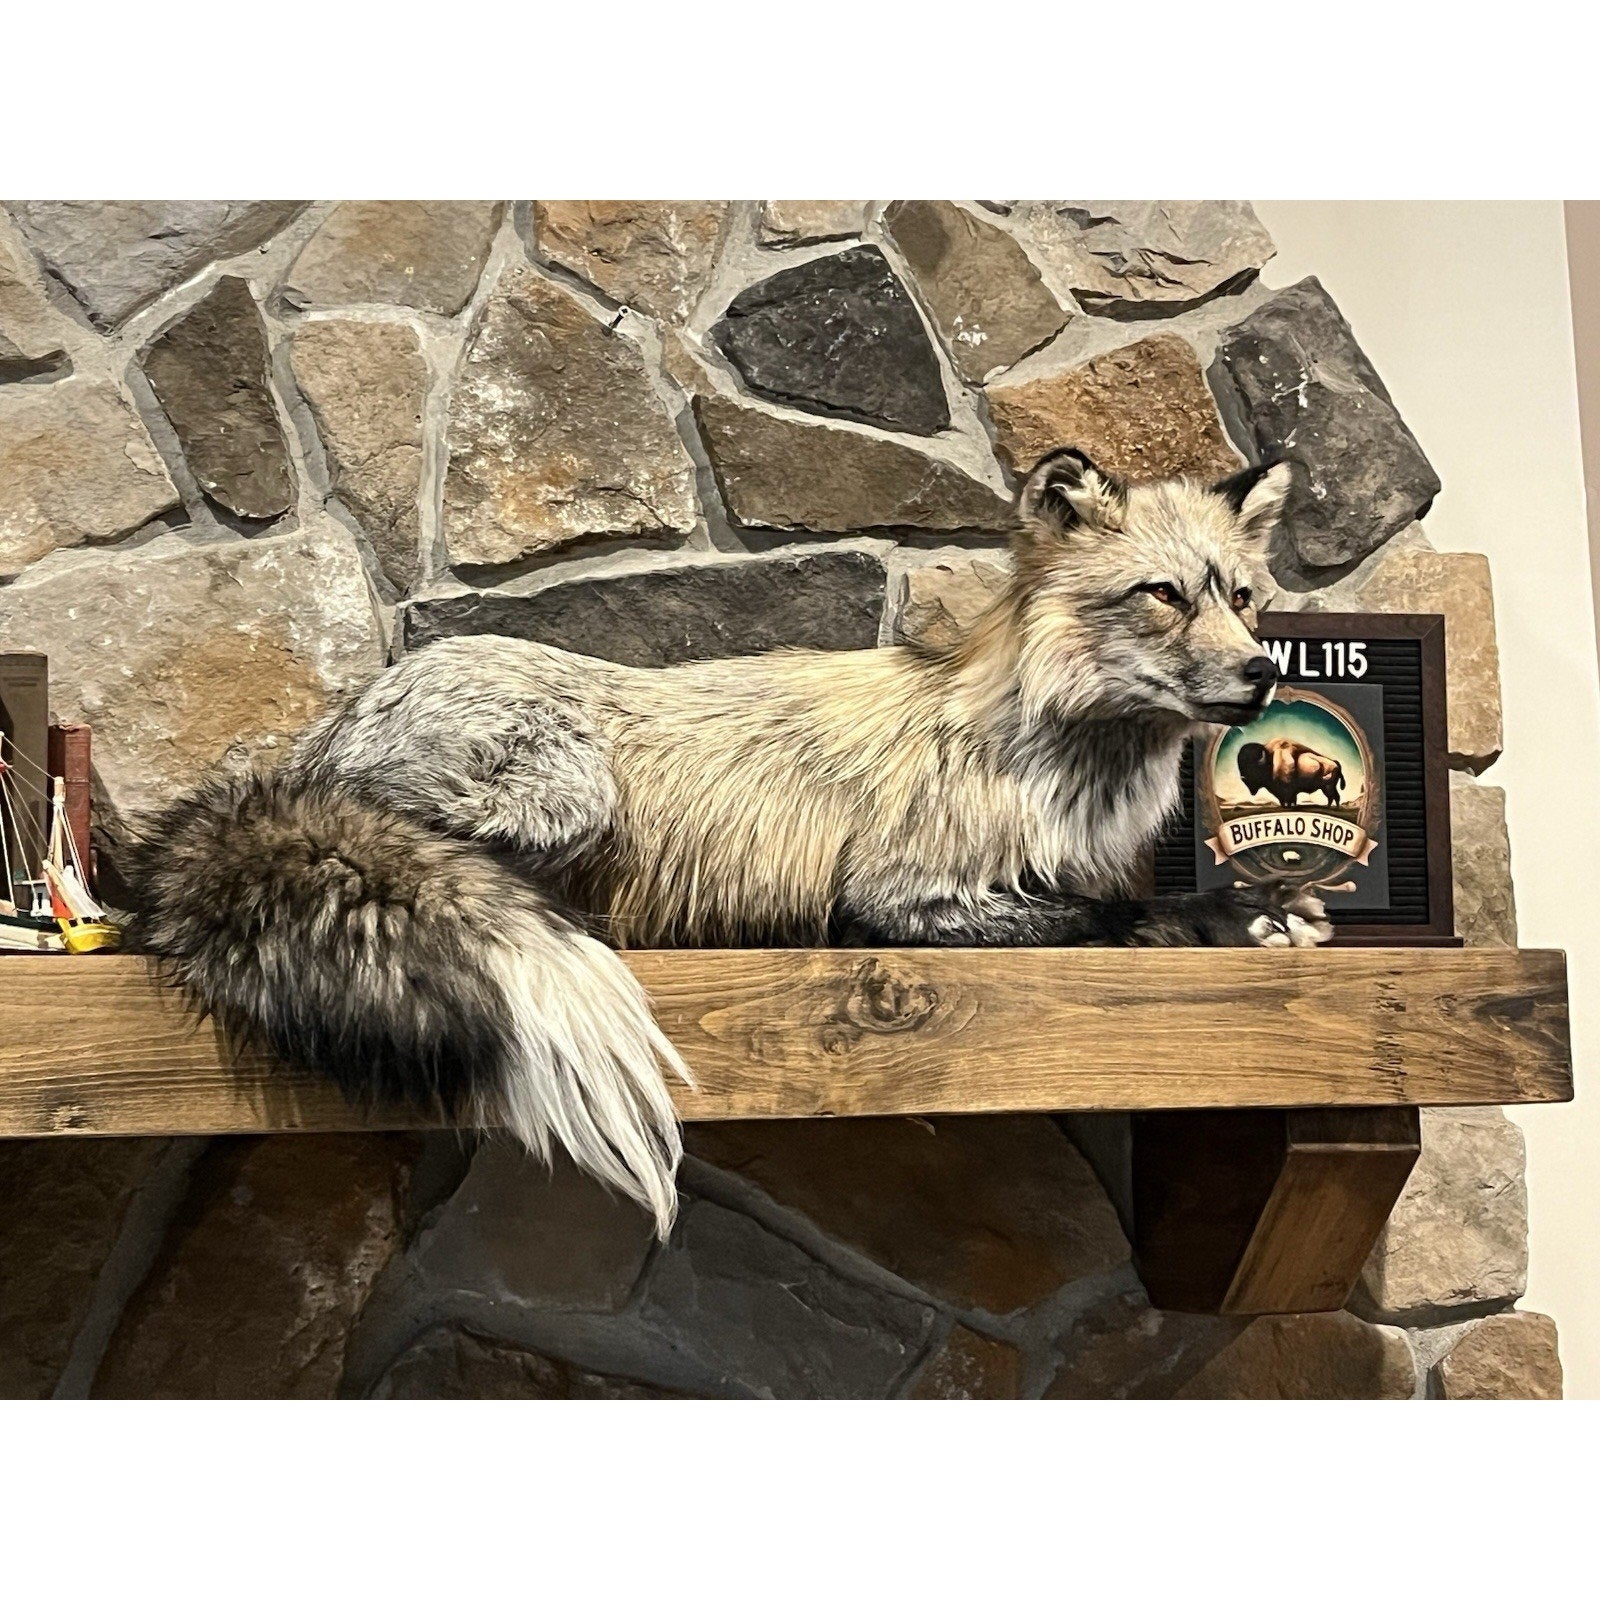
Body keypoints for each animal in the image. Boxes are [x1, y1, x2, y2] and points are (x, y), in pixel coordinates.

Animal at [127, 448, 1330, 1237]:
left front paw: (1263, 909)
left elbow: (1121, 900)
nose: (1264, 674)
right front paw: (1224, 915)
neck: (1053, 763)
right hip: (565, 793)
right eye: (1161, 594)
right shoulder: (901, 895)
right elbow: (1108, 914)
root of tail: (332, 724)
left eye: (1241, 595)